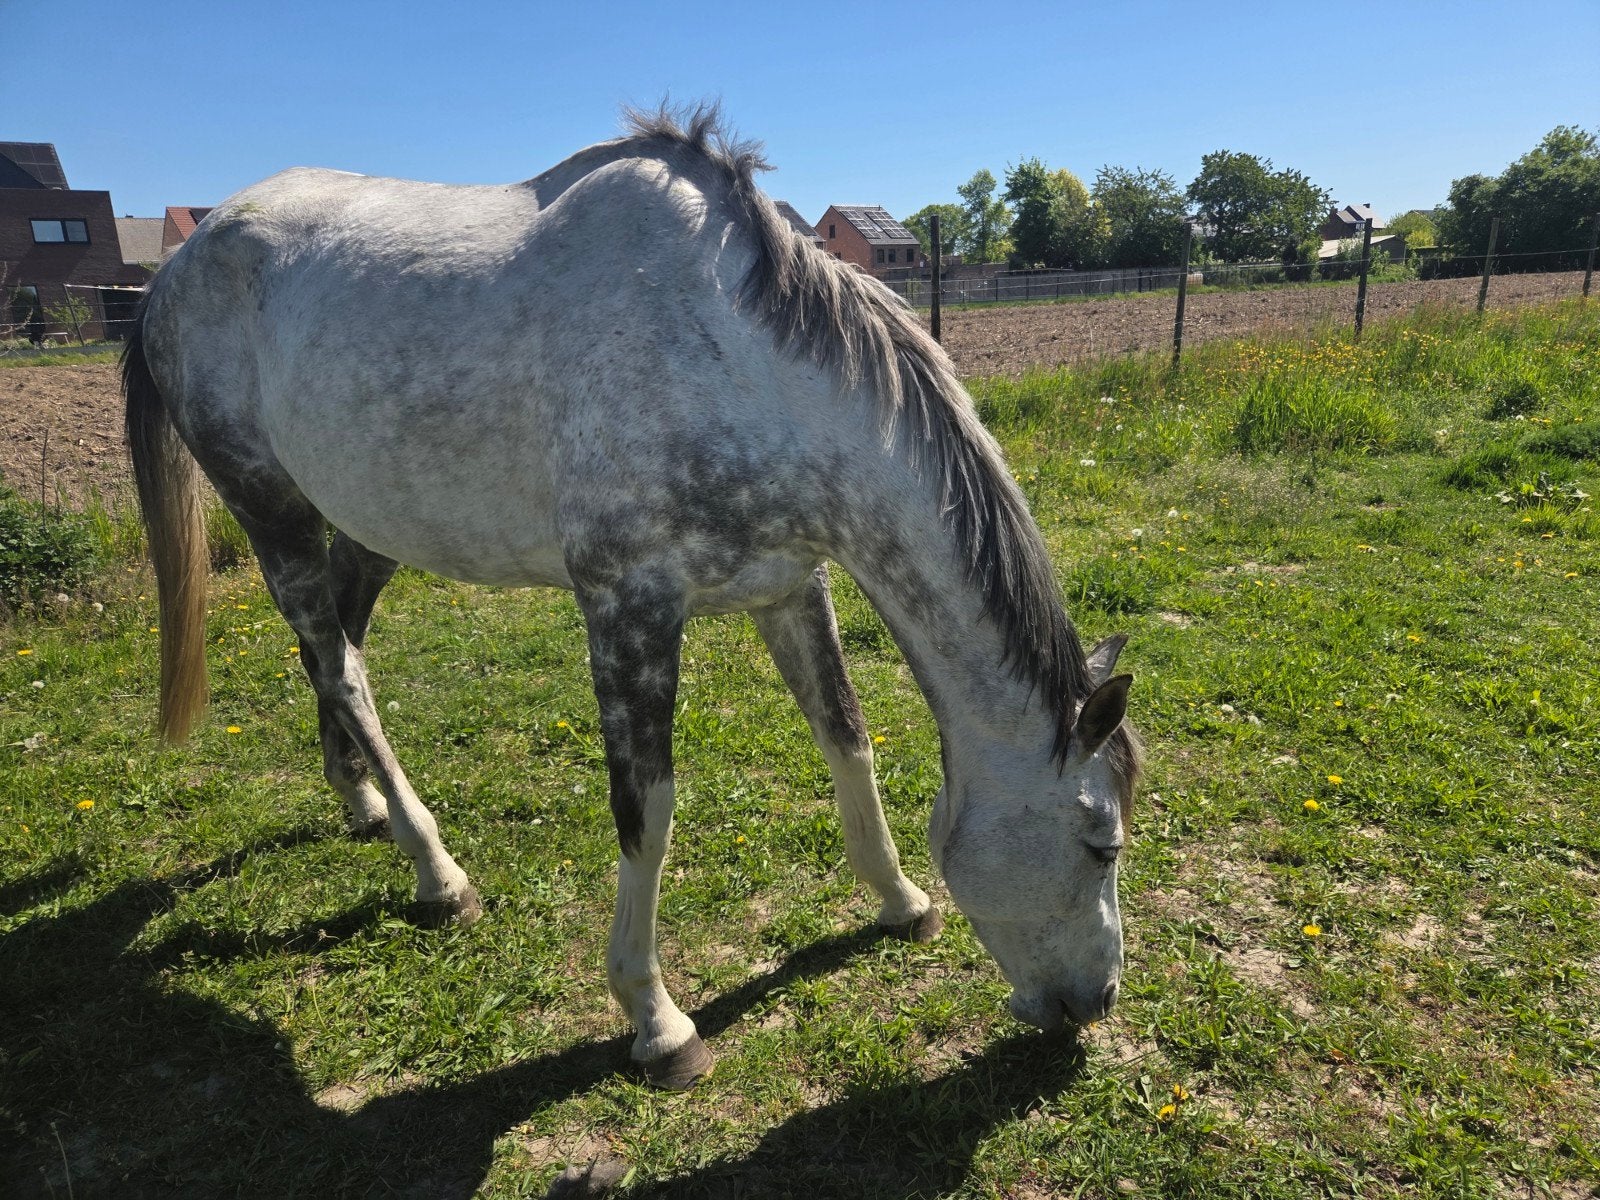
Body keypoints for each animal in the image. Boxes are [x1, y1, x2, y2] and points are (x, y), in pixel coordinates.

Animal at [122, 106, 1142, 1089]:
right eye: (1103, 845)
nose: (1094, 1002)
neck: (737, 360)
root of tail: (180, 262)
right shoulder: (628, 608)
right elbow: (646, 812)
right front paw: (657, 1022)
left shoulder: (790, 586)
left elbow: (848, 740)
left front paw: (900, 901)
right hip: (268, 507)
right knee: (341, 666)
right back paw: (438, 872)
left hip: (367, 522)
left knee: (337, 644)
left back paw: (360, 801)